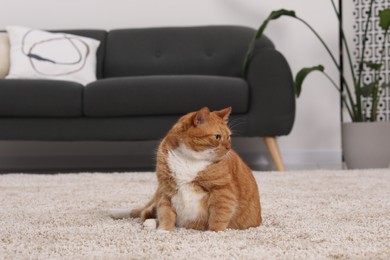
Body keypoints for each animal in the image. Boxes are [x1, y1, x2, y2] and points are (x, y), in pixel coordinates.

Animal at [129, 107, 262, 232]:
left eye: (229, 137)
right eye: (217, 136)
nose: (229, 148)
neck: (189, 159)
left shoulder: (222, 190)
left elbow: (219, 215)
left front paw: (214, 232)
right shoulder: (166, 190)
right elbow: (165, 213)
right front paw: (164, 230)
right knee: (146, 212)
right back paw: (149, 222)